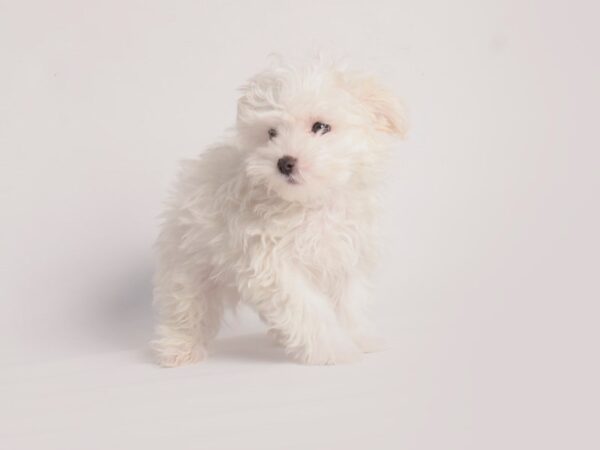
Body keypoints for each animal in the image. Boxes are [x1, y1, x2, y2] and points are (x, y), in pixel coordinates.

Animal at [152, 59, 406, 366]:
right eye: (271, 133)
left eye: (321, 127)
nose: (284, 162)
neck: (312, 204)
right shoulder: (273, 265)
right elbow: (308, 309)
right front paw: (332, 348)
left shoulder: (346, 257)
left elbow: (347, 304)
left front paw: (358, 337)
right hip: (189, 261)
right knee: (187, 306)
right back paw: (179, 346)